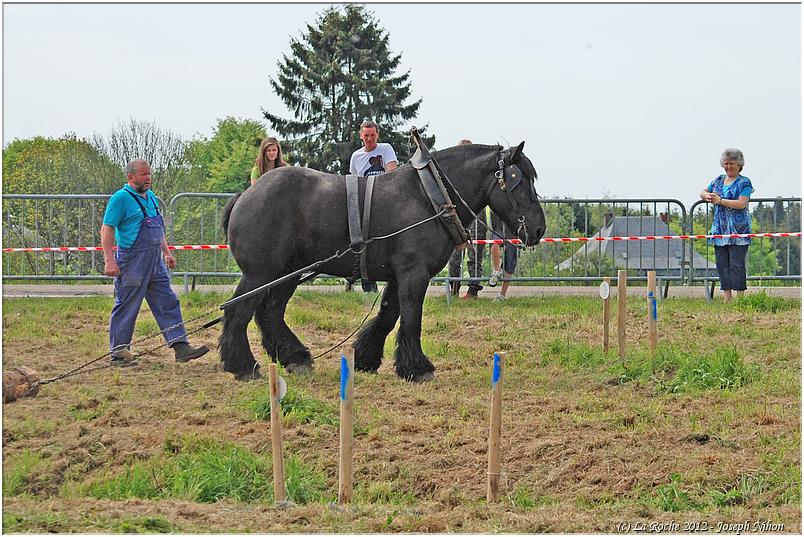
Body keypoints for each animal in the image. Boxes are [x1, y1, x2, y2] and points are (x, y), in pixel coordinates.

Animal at [220, 142, 548, 382]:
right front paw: (418, 368)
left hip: (286, 273)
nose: (538, 229)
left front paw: (367, 358)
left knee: (270, 313)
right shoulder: (414, 273)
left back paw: (295, 358)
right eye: (519, 181)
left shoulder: (398, 276)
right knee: (239, 312)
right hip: (260, 274)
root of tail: (245, 196)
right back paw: (243, 365)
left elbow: (389, 316)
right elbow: (411, 319)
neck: (429, 195)